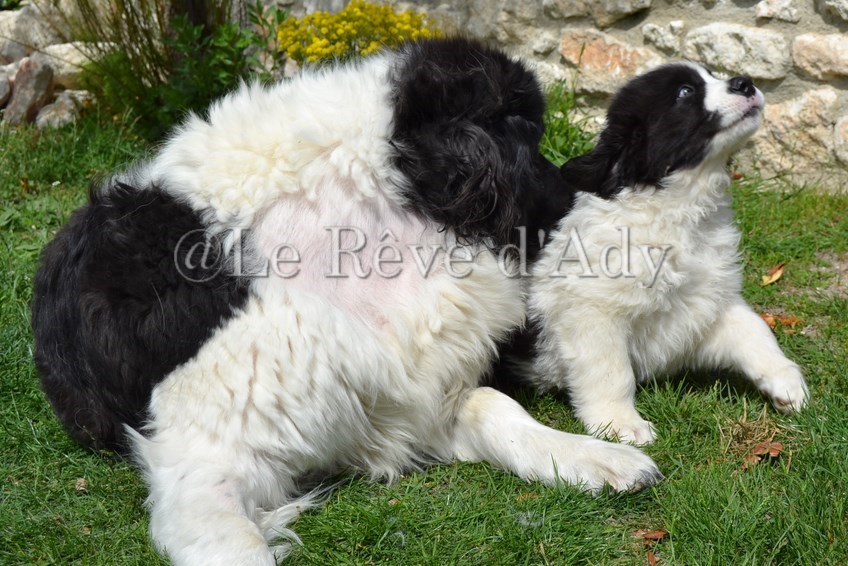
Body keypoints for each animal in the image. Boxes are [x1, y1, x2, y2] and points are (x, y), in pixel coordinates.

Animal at [31, 38, 662, 565]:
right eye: (529, 140)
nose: (578, 195)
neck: (370, 215)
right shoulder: (202, 466)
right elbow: (239, 545)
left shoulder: (411, 399)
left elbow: (498, 409)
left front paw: (595, 457)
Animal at [521, 62, 810, 445]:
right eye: (685, 93)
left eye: (713, 74)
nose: (745, 83)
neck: (678, 213)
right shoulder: (592, 312)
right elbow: (611, 371)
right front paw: (619, 423)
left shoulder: (705, 303)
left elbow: (755, 330)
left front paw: (787, 382)